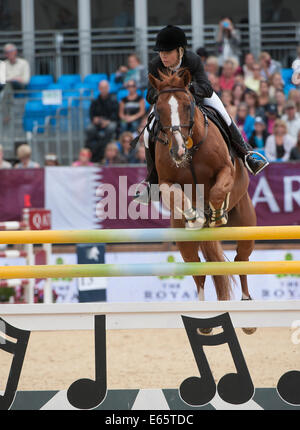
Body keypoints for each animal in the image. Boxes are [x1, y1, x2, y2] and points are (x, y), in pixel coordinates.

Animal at [149, 69, 256, 312]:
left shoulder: (226, 169)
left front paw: (216, 215)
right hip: (183, 241)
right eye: (159, 109)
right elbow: (178, 196)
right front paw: (195, 217)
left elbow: (217, 192)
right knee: (197, 269)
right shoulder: (166, 182)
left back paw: (246, 302)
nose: (178, 151)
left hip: (246, 225)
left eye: (187, 105)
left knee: (241, 260)